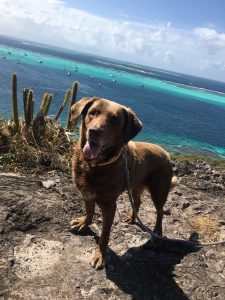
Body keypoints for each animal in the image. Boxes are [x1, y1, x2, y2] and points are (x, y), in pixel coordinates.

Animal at [70, 98, 174, 270]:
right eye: (93, 112)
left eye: (115, 120)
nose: (93, 131)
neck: (95, 165)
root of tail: (166, 153)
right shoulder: (87, 194)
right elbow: (89, 211)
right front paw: (84, 223)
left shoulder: (110, 206)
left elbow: (105, 234)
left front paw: (100, 254)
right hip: (135, 184)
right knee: (137, 202)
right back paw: (132, 218)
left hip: (158, 191)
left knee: (159, 211)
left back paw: (157, 231)